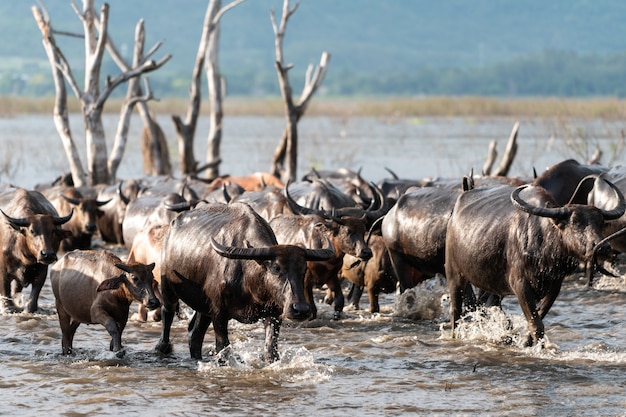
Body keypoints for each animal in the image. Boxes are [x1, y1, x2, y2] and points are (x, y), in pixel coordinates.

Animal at [154, 202, 334, 360]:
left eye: (303, 269)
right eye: (276, 268)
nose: (301, 309)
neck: (250, 282)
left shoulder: (274, 314)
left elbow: (270, 350)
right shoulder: (219, 314)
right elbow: (223, 348)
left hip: (203, 308)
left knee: (195, 335)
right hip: (168, 288)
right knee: (167, 314)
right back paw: (163, 346)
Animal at [444, 180, 624, 346]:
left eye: (601, 223)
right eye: (575, 222)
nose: (603, 247)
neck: (544, 245)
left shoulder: (554, 286)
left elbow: (539, 317)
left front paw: (527, 342)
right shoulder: (520, 285)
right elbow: (536, 323)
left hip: (492, 284)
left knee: (488, 304)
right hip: (454, 274)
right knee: (456, 310)